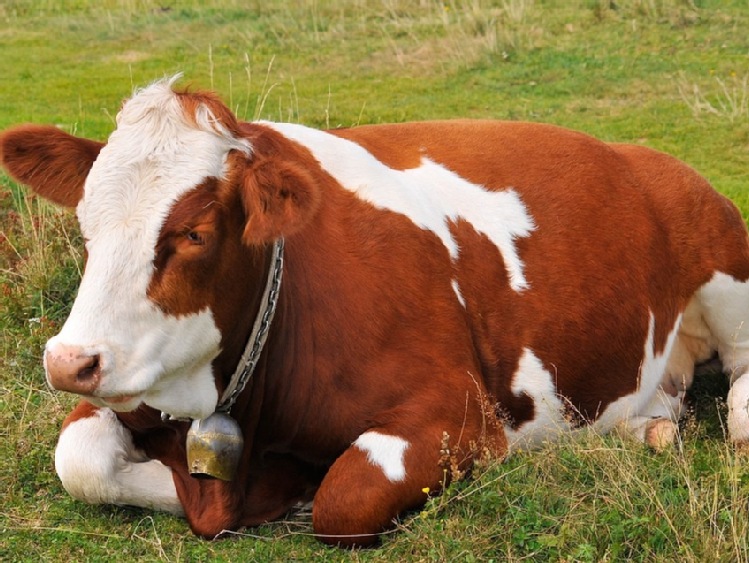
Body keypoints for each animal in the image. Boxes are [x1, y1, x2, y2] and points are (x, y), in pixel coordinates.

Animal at [1, 75, 748, 548]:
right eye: (86, 224)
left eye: (193, 232)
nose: (70, 362)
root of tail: (640, 156)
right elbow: (80, 459)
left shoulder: (459, 414)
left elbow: (344, 496)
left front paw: (296, 490)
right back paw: (649, 430)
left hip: (724, 263)